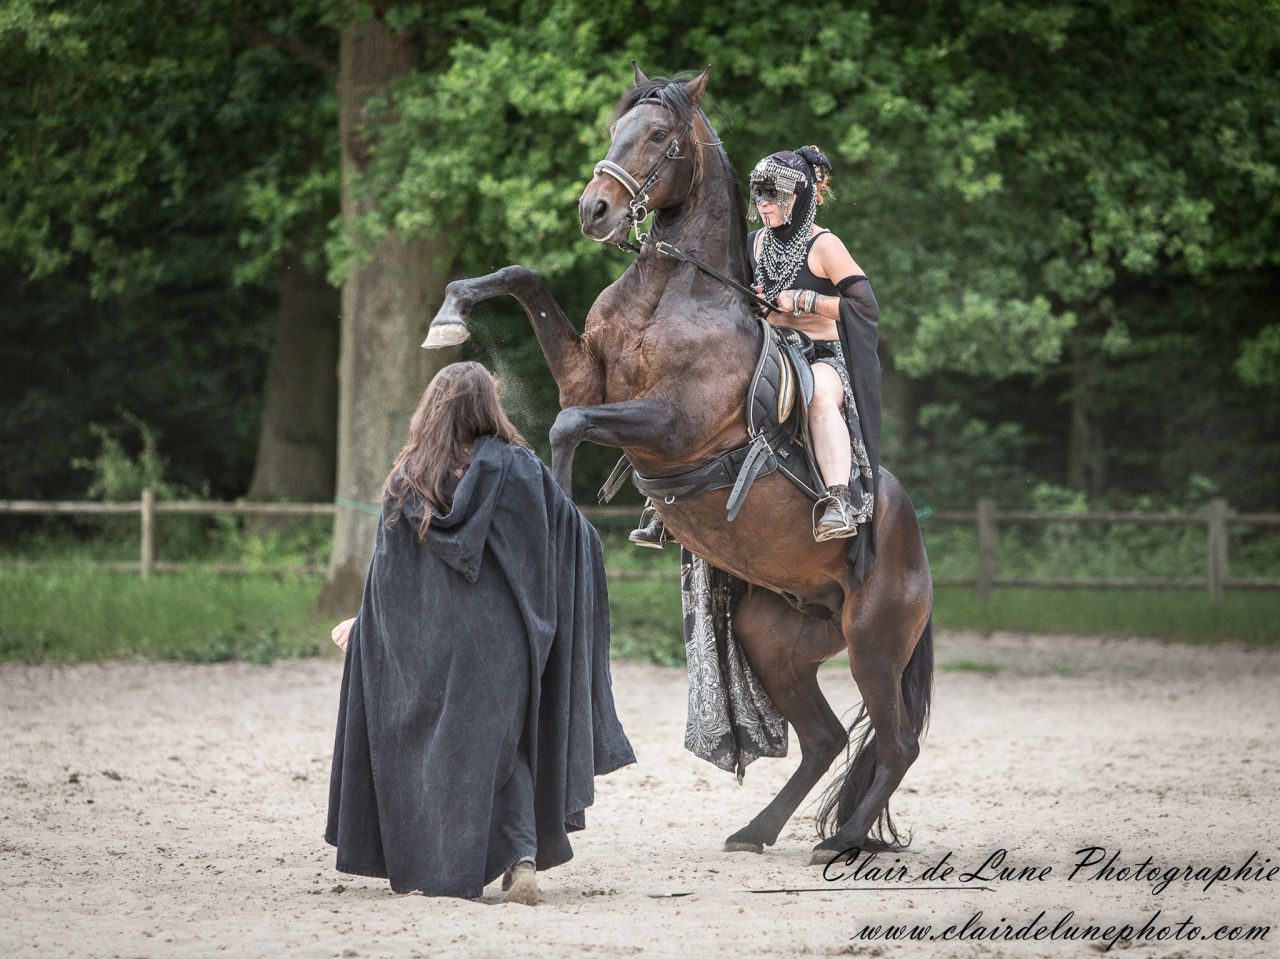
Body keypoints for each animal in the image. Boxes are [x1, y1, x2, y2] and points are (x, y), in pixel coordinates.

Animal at [423, 66, 934, 862]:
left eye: (660, 135)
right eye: (615, 130)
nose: (594, 209)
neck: (671, 290)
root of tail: (911, 536)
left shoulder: (670, 425)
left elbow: (568, 426)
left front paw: (558, 511)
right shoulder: (587, 380)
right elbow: (525, 278)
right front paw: (449, 316)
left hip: (874, 644)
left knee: (897, 741)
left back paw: (844, 839)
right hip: (776, 640)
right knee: (824, 740)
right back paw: (756, 832)